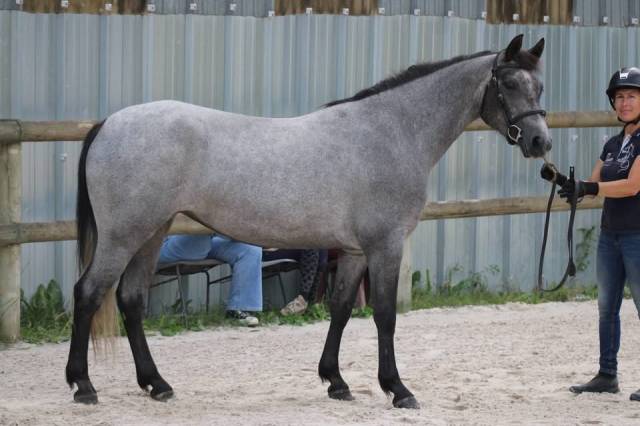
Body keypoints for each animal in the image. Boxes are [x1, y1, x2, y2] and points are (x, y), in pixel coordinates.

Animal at [66, 34, 551, 409]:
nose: (540, 142)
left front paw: (336, 381)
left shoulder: (354, 250)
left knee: (130, 300)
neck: (390, 132)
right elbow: (385, 315)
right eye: (509, 83)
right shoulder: (385, 245)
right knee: (88, 293)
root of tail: (109, 124)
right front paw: (397, 389)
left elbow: (340, 309)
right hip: (123, 236)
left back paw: (157, 384)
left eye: (540, 87)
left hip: (151, 233)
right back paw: (83, 386)